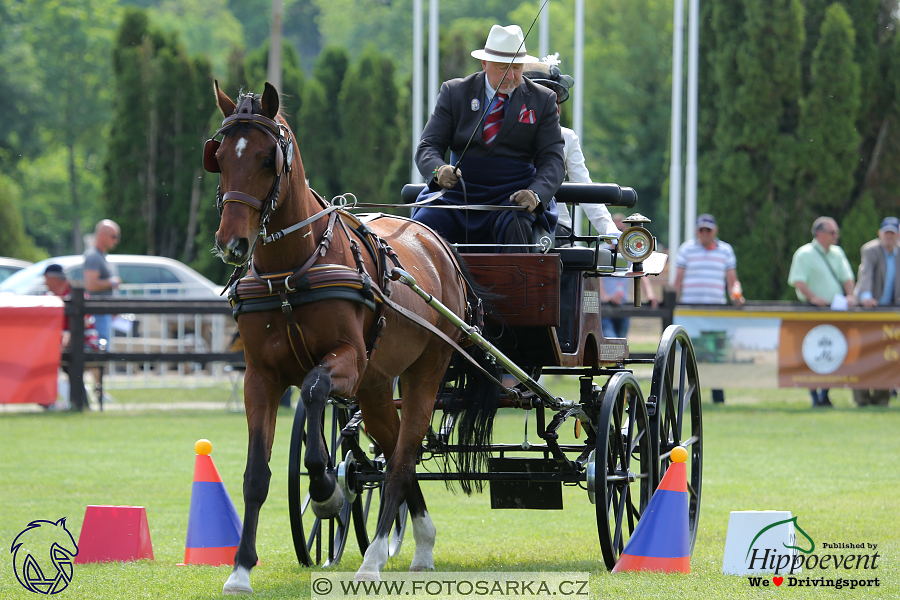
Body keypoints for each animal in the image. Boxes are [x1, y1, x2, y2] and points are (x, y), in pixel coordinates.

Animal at [209, 82, 492, 592]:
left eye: (266, 159)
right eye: (218, 157)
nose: (232, 244)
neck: (291, 271)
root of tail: (438, 244)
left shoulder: (348, 362)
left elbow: (314, 393)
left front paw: (325, 493)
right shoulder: (260, 377)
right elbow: (256, 473)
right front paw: (240, 570)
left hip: (423, 373)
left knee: (401, 457)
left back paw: (373, 557)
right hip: (378, 387)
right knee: (395, 446)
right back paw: (421, 543)